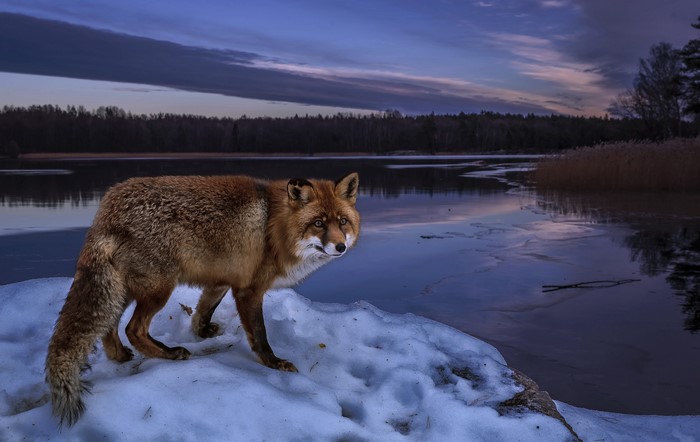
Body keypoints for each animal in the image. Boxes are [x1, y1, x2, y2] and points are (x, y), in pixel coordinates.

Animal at [45, 172, 360, 426]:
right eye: (318, 223)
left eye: (342, 222)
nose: (340, 247)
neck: (274, 226)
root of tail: (107, 209)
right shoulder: (249, 290)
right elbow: (260, 335)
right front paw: (273, 363)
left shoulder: (221, 280)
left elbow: (203, 311)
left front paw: (203, 332)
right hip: (158, 290)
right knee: (132, 329)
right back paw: (169, 354)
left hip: (124, 289)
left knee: (108, 327)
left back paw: (121, 356)